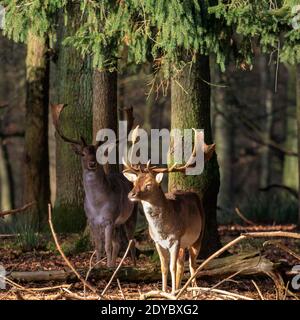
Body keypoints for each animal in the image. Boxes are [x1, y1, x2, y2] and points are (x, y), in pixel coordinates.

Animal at [51, 105, 138, 268]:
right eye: (83, 154)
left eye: (98, 153)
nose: (92, 164)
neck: (98, 204)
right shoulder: (92, 220)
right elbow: (98, 246)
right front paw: (97, 267)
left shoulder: (109, 218)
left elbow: (107, 246)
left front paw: (106, 267)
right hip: (117, 223)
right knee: (118, 243)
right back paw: (114, 264)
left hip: (131, 214)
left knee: (131, 241)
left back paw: (132, 265)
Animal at [122, 129, 216, 294]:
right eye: (134, 182)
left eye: (149, 184)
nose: (131, 194)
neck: (163, 230)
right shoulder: (157, 242)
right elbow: (164, 267)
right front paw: (164, 291)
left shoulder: (176, 239)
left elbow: (172, 267)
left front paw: (171, 293)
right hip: (183, 244)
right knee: (181, 264)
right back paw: (179, 288)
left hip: (198, 236)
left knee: (192, 265)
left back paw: (194, 290)